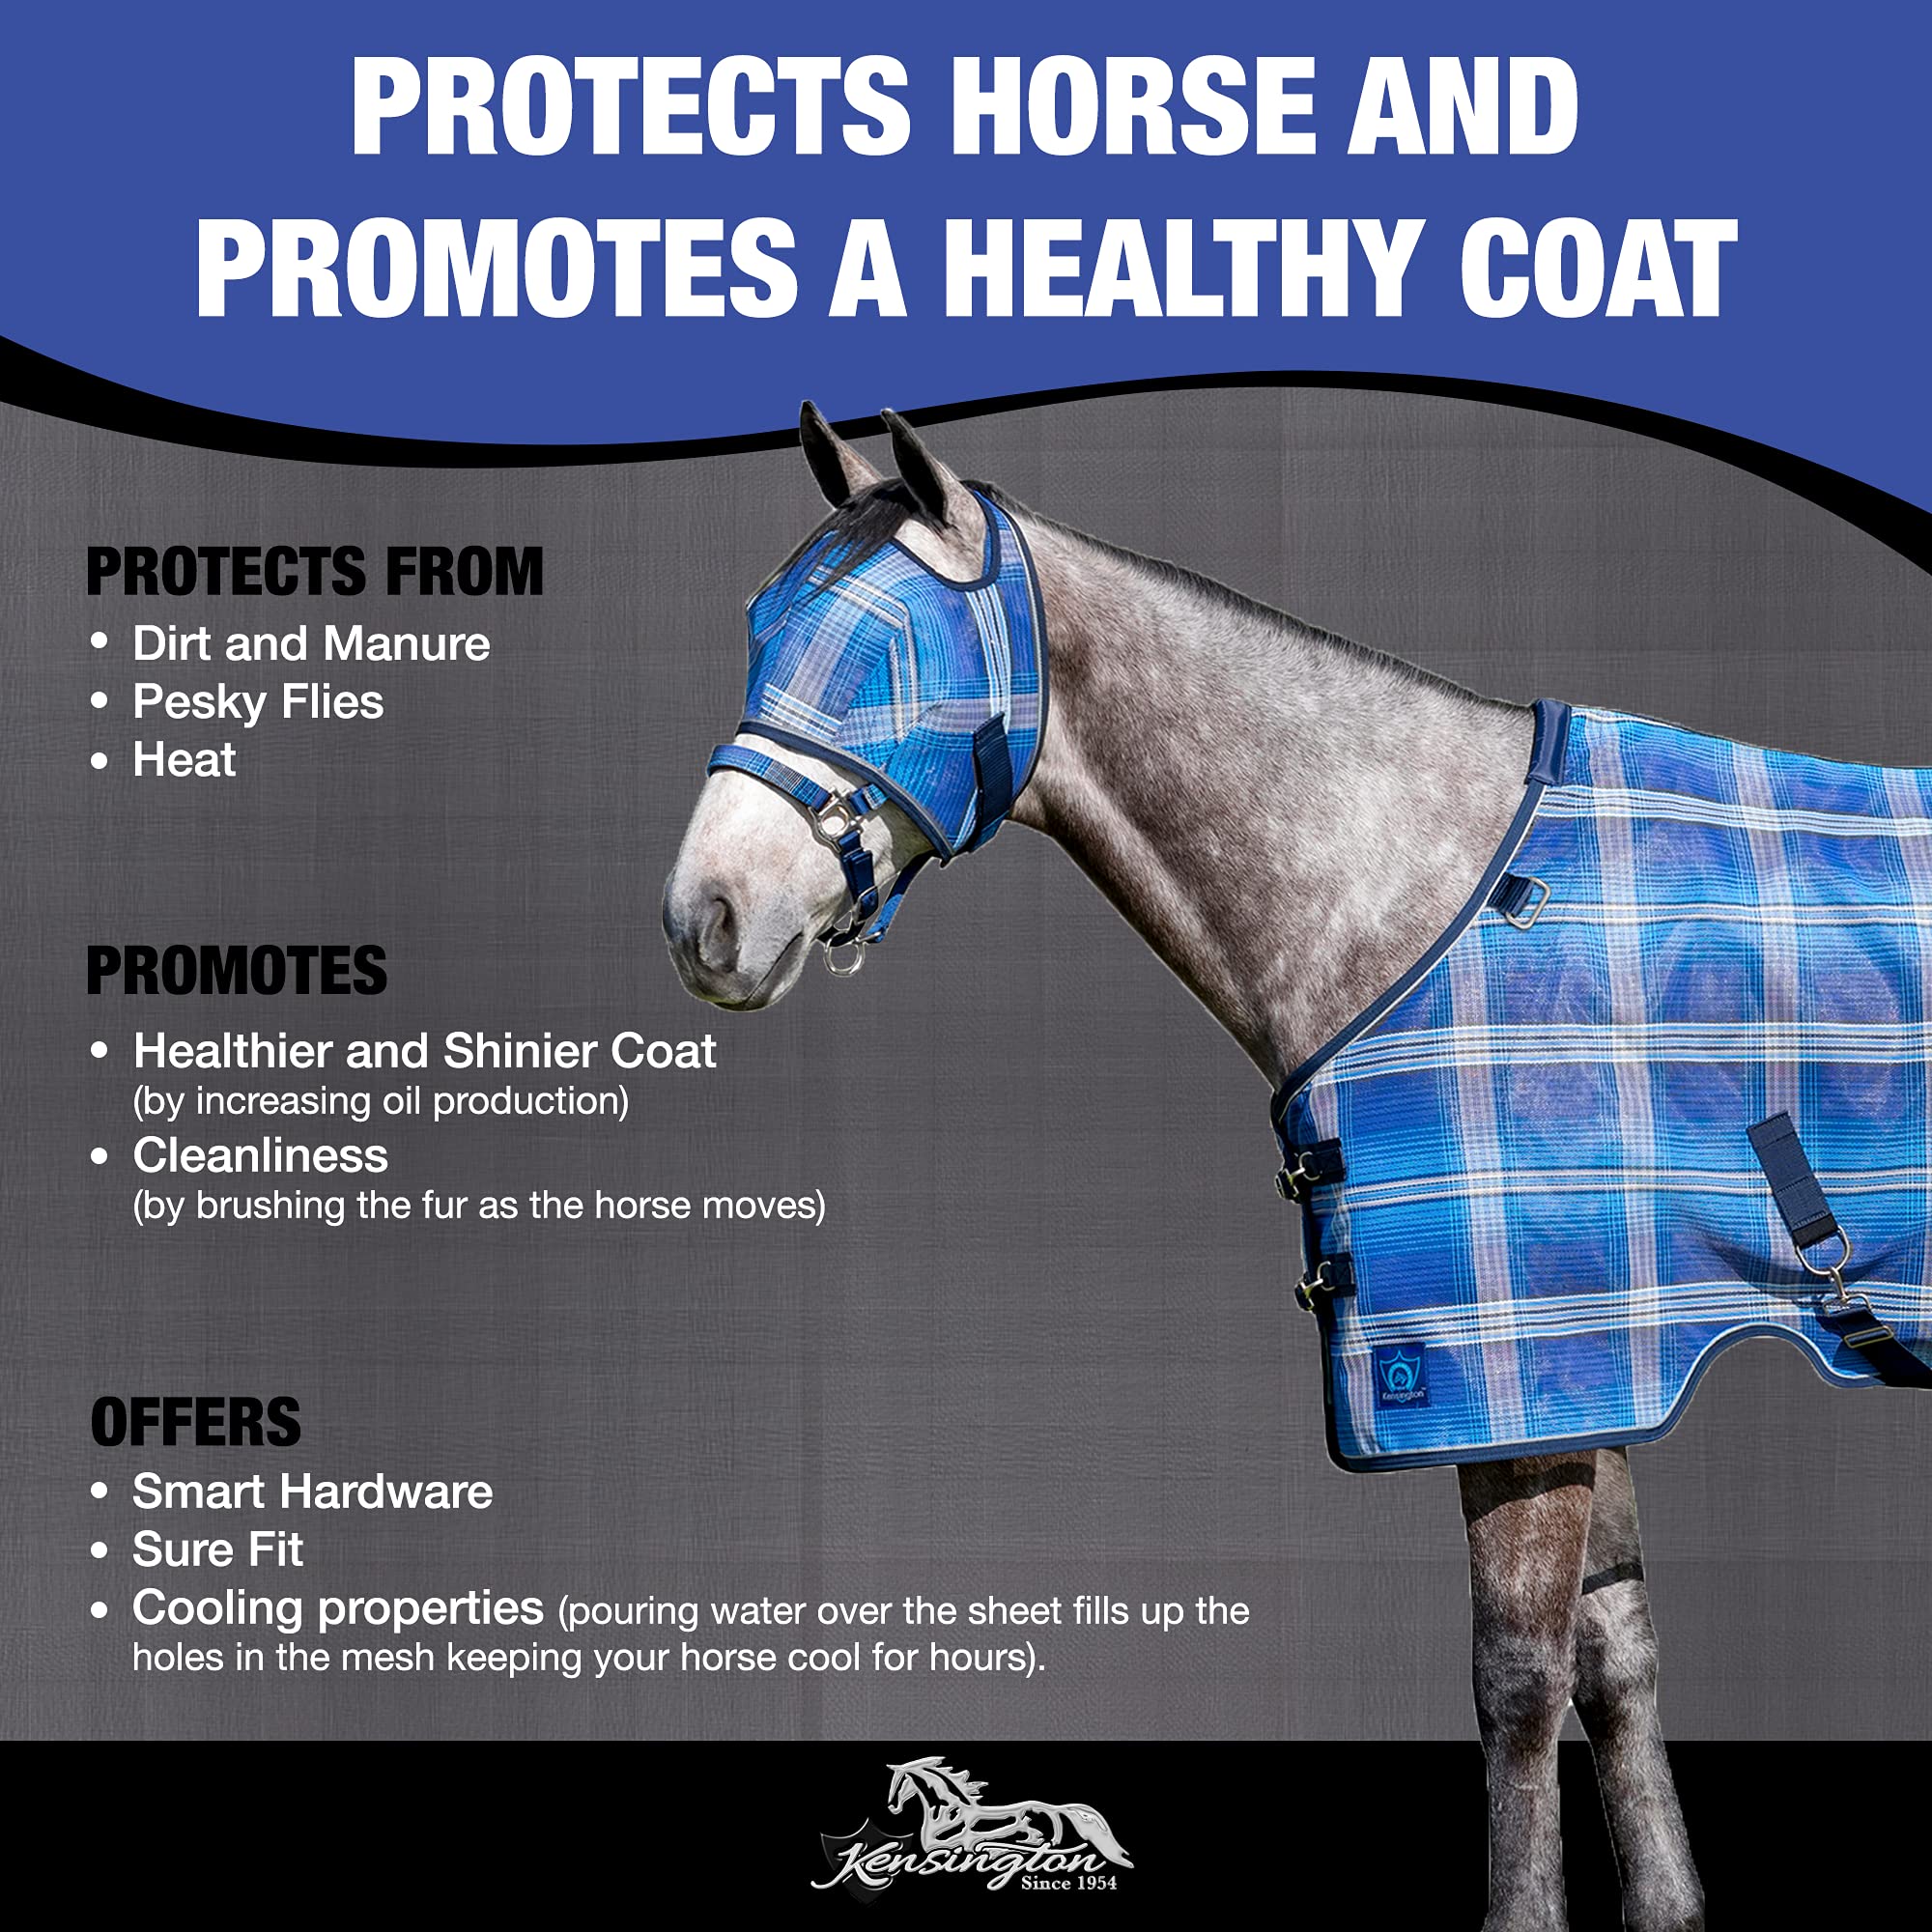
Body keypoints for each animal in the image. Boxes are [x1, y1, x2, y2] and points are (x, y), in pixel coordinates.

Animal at [664, 401, 1727, 1932]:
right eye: (760, 624)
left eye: (888, 655)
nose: (706, 915)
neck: (1427, 886)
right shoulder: (1605, 1357)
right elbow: (1618, 1662)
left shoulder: (1514, 1378)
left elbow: (1521, 1685)